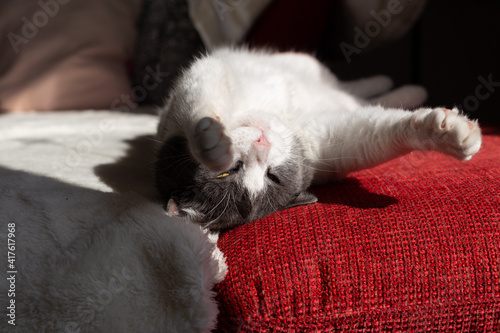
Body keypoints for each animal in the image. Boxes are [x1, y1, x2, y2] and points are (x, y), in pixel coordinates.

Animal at [155, 47, 480, 231]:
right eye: (232, 173)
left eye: (272, 176)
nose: (262, 145)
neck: (277, 115)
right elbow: (380, 129)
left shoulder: (201, 80)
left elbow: (203, 109)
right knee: (361, 98)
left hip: (305, 64)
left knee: (354, 88)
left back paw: (398, 83)